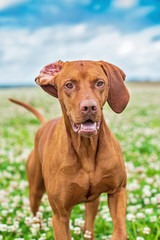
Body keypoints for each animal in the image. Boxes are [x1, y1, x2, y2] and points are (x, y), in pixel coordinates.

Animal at [9, 60, 130, 240]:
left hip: (92, 202)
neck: (86, 149)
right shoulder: (60, 215)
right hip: (35, 192)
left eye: (100, 83)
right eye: (69, 85)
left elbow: (120, 230)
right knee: (36, 214)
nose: (89, 107)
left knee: (89, 225)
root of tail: (44, 124)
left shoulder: (118, 191)